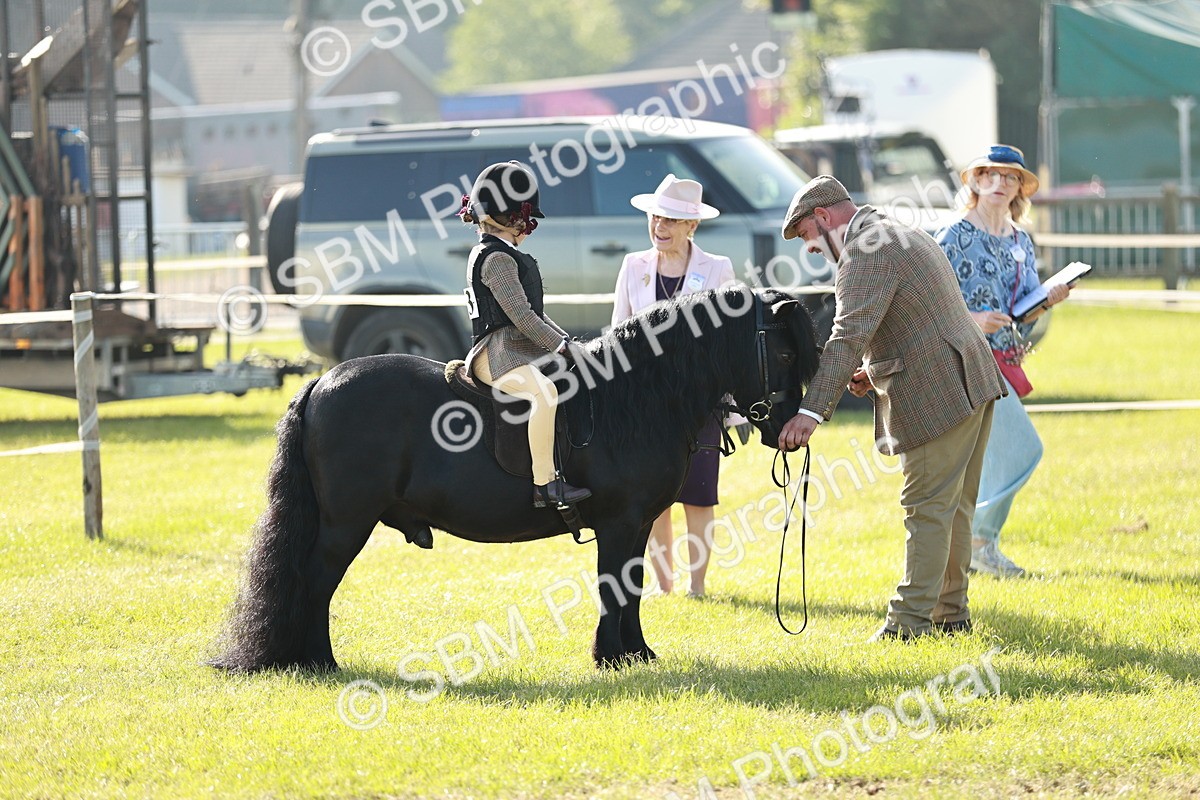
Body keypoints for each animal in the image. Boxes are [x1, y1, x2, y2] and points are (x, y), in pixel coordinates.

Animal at [210, 287, 821, 672]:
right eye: (783, 349)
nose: (788, 429)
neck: (635, 395)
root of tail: (322, 382)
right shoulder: (619, 523)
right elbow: (613, 586)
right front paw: (611, 657)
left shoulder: (639, 524)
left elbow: (632, 585)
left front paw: (636, 654)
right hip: (345, 524)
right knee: (315, 581)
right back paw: (319, 662)